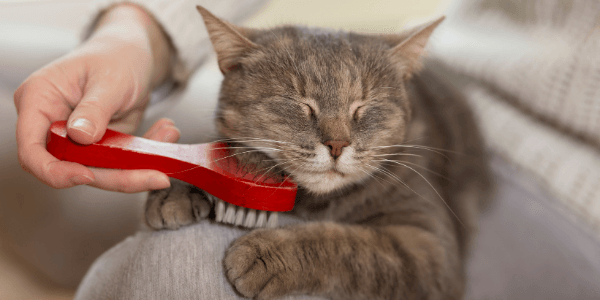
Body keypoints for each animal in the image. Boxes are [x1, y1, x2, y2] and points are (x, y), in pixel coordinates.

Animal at [145, 5, 492, 300]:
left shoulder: (429, 249)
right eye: (301, 104)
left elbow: (349, 245)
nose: (337, 145)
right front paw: (179, 186)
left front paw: (267, 253)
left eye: (362, 107)